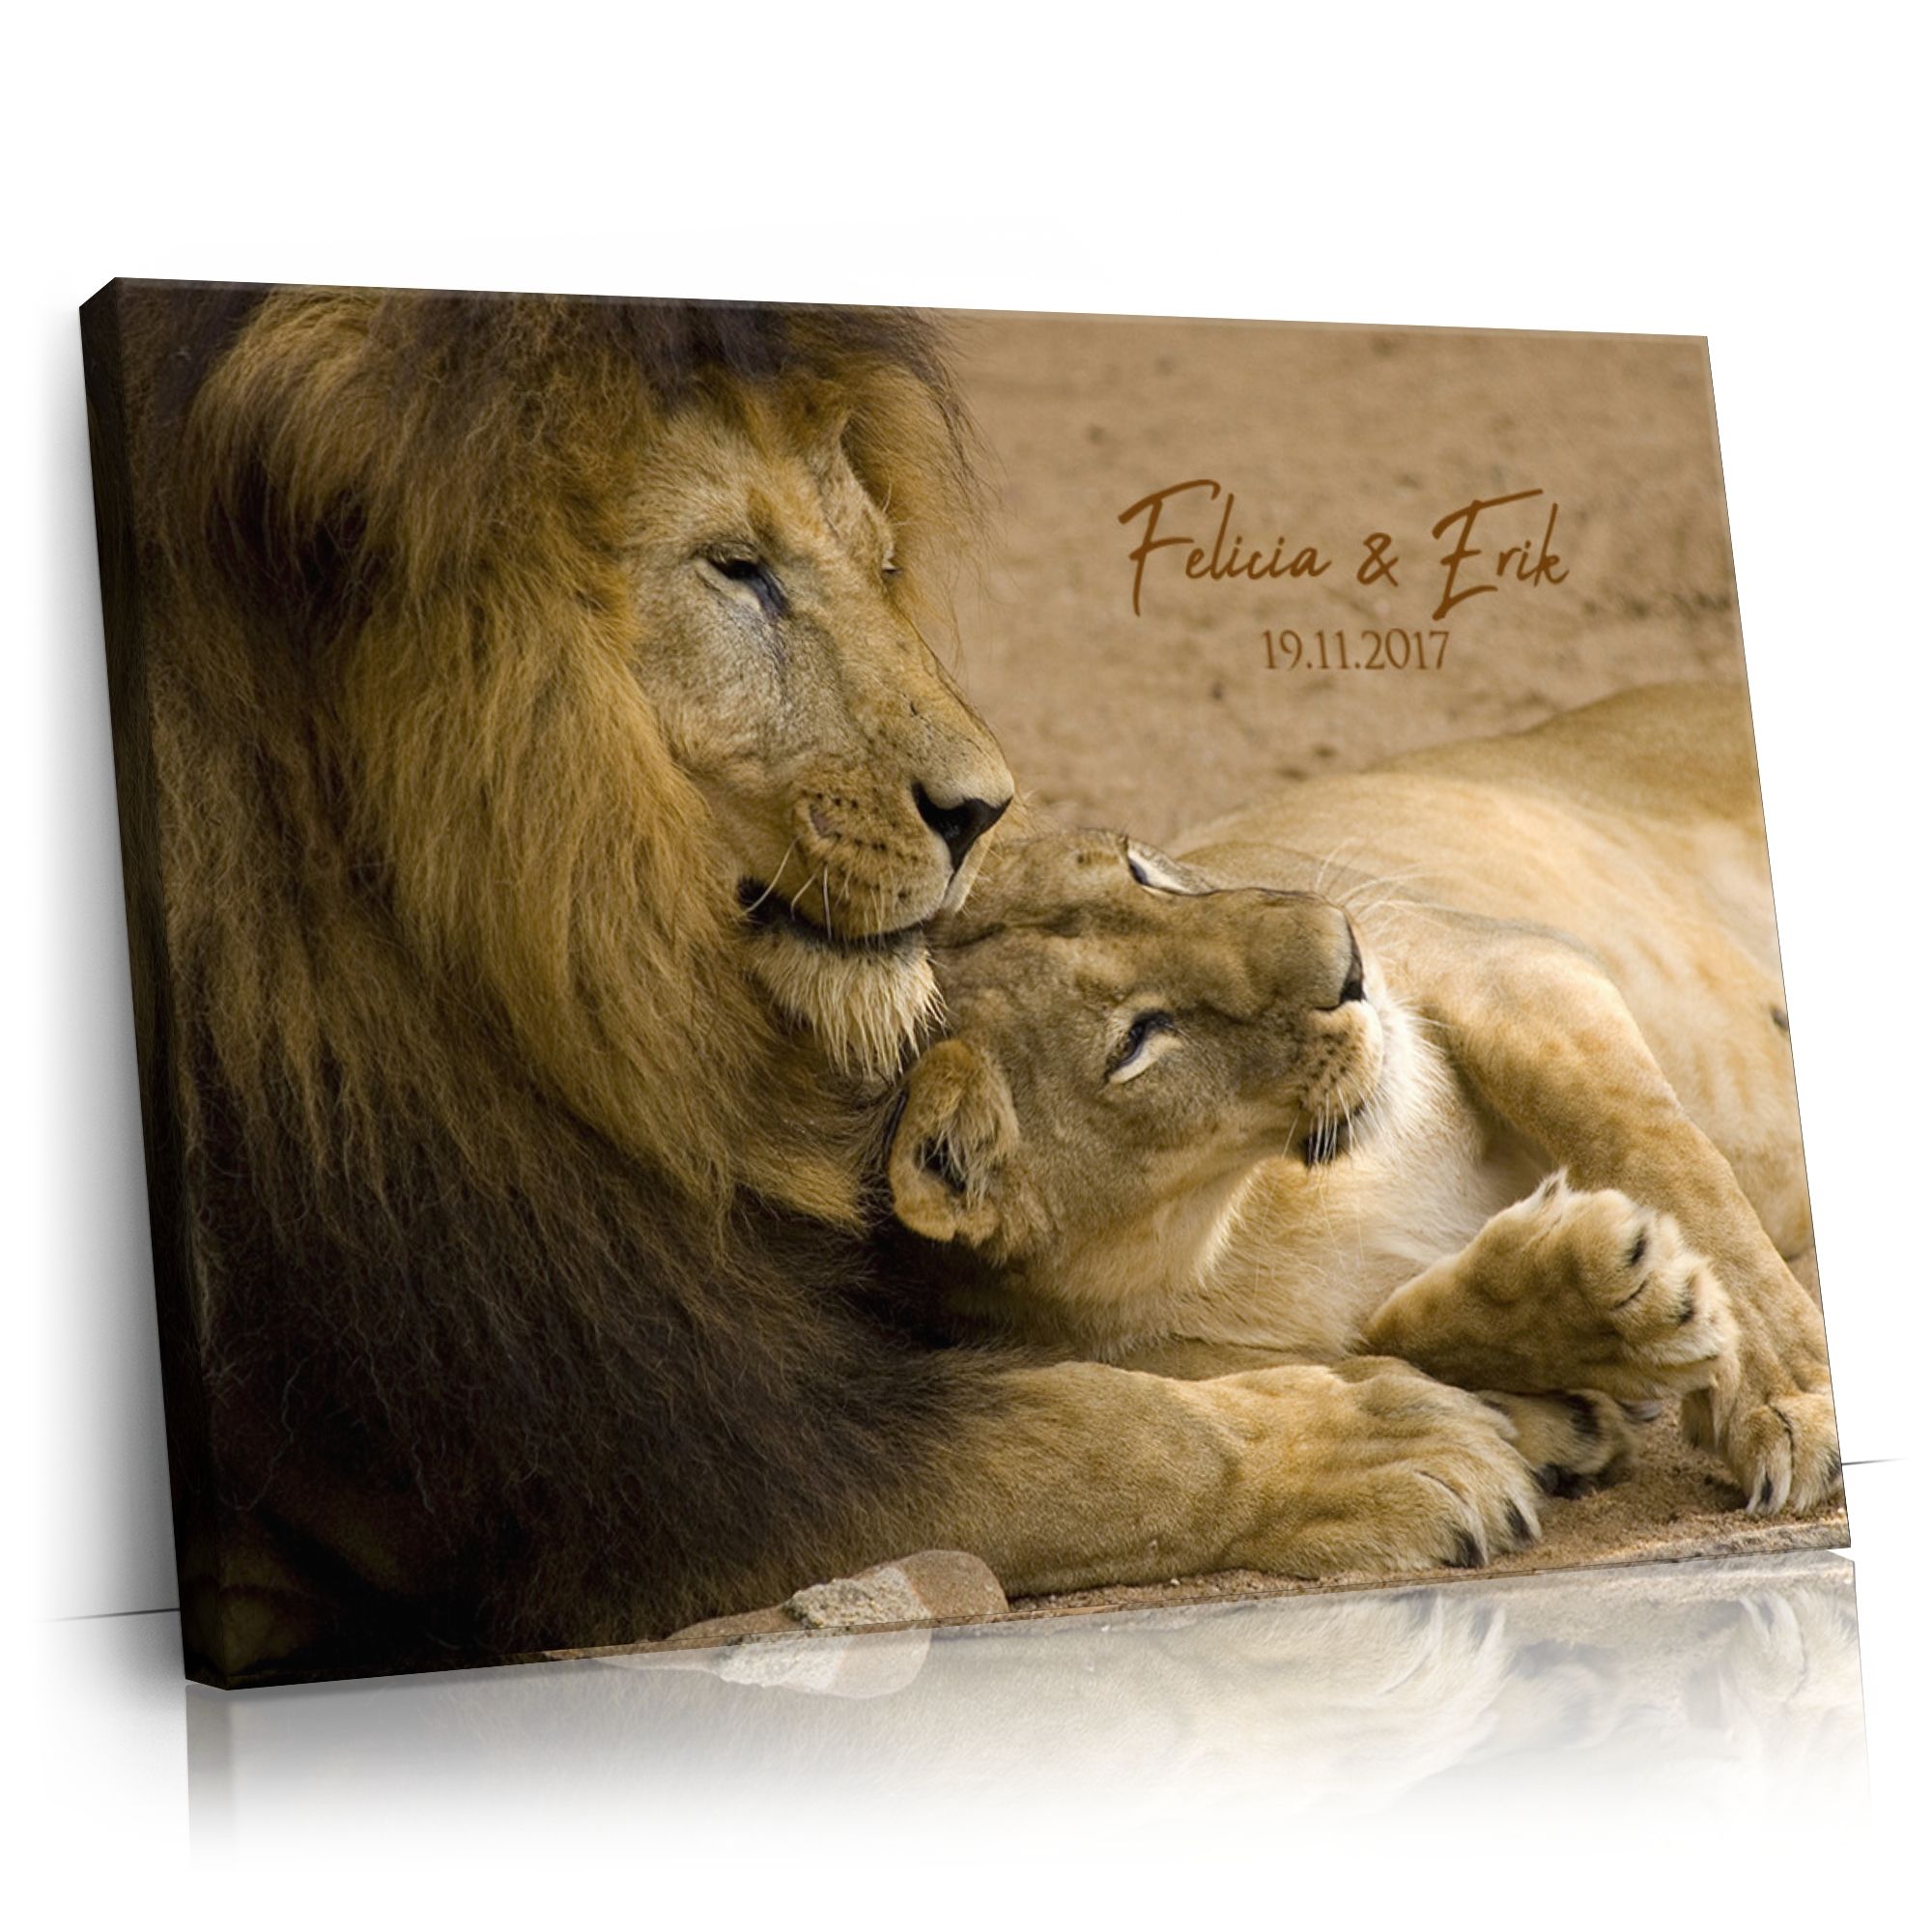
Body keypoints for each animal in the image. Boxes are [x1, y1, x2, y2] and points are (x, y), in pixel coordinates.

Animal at [87, 283, 1579, 1684]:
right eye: (736, 568)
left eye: (878, 561)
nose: (981, 810)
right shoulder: (596, 1456)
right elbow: (1087, 1439)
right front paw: (1381, 1440)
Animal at [884, 685, 1841, 1529]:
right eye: (1137, 1040)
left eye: (1144, 872)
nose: (1347, 955)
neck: (1241, 1214)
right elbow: (1397, 1340)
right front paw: (1596, 1320)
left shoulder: (1507, 966)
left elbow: (1660, 1156)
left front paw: (1797, 1395)